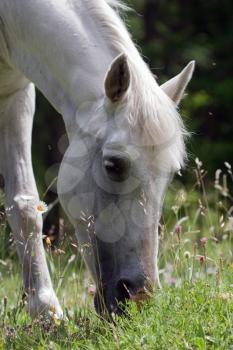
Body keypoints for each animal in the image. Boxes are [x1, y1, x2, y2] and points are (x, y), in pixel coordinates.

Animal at [0, 0, 194, 318]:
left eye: (171, 174)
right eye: (113, 166)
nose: (137, 298)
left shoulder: (15, 95)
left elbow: (24, 205)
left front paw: (45, 313)